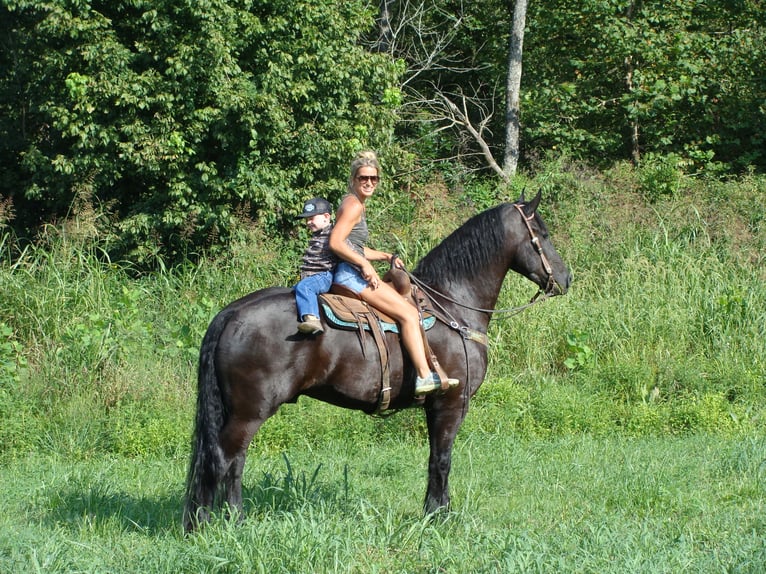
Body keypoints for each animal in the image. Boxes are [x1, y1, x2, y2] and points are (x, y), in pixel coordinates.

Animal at [184, 195, 568, 536]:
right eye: (543, 233)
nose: (566, 278)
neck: (451, 305)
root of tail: (231, 313)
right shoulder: (450, 404)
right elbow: (442, 460)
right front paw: (440, 517)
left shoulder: (435, 407)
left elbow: (434, 458)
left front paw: (432, 512)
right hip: (250, 410)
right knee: (224, 459)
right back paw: (217, 523)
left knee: (228, 461)